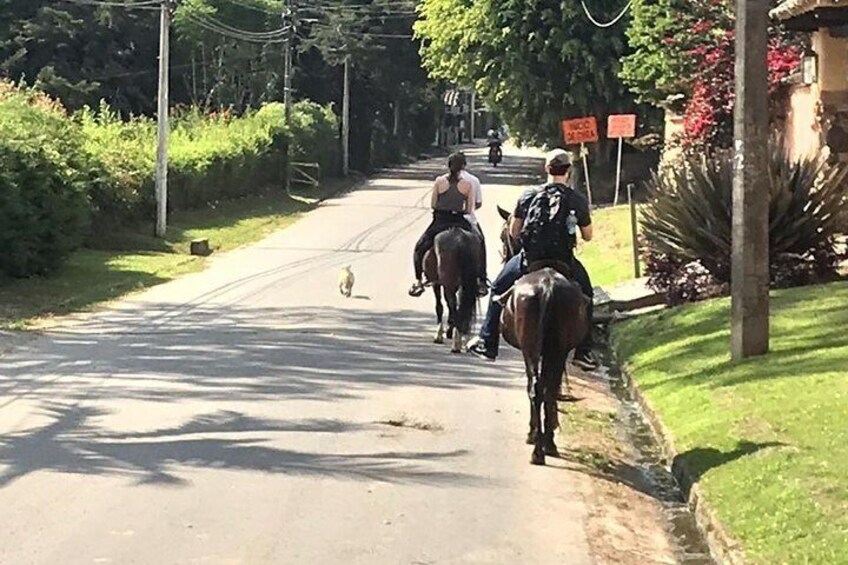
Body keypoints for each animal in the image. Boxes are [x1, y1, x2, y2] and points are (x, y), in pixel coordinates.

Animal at [496, 262, 588, 464]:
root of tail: (547, 287)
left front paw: (534, 433)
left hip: (534, 350)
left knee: (538, 389)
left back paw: (539, 447)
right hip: (554, 351)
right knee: (545, 390)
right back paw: (545, 446)